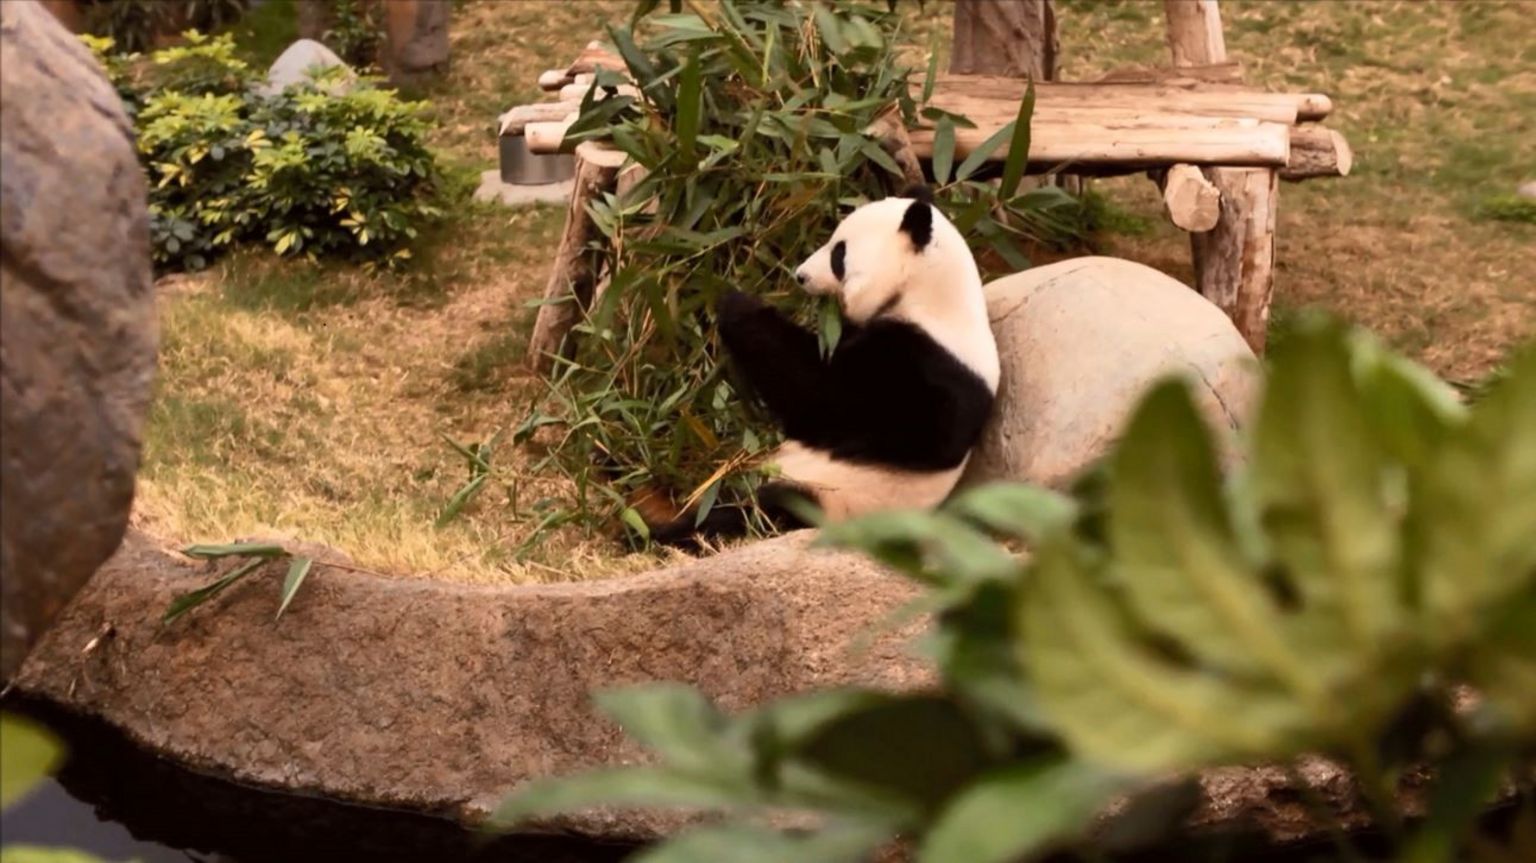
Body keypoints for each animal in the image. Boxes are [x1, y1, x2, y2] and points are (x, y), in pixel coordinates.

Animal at [638, 184, 1000, 548]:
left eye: (839, 254)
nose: (800, 275)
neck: (931, 295)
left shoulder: (926, 368)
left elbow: (825, 399)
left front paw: (737, 305)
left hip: (828, 499)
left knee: (753, 512)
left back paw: (664, 531)